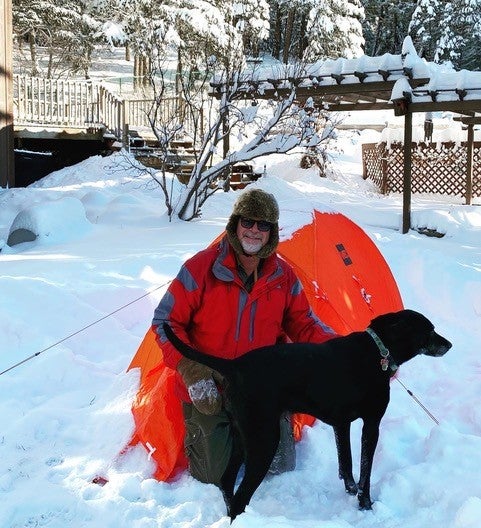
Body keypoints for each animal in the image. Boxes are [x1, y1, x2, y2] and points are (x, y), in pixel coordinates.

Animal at [163, 310, 452, 520]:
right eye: (429, 329)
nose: (449, 344)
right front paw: (365, 505)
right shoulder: (371, 424)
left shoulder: (341, 424)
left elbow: (346, 464)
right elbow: (365, 472)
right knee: (240, 496)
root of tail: (233, 365)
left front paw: (350, 492)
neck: (377, 351)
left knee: (226, 481)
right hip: (264, 440)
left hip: (244, 436)